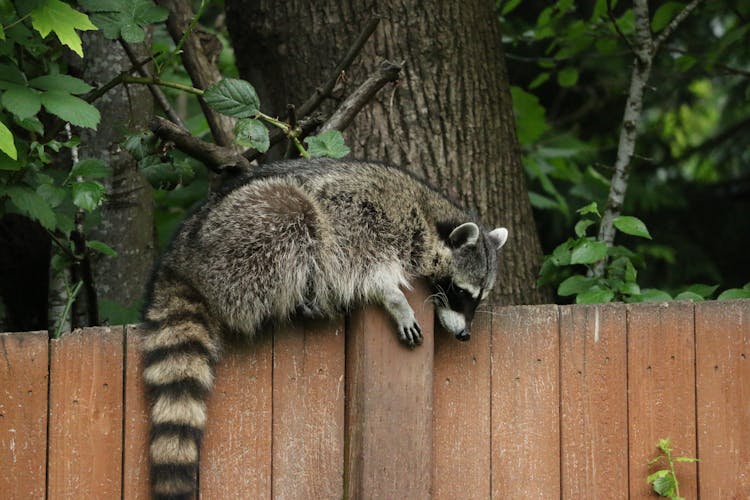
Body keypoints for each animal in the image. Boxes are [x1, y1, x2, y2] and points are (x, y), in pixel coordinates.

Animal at [143, 158, 508, 498]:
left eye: (478, 298)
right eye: (461, 291)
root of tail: (180, 260)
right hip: (244, 237)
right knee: (297, 217)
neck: (428, 214)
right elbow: (359, 265)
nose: (464, 335)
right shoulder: (360, 216)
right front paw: (392, 295)